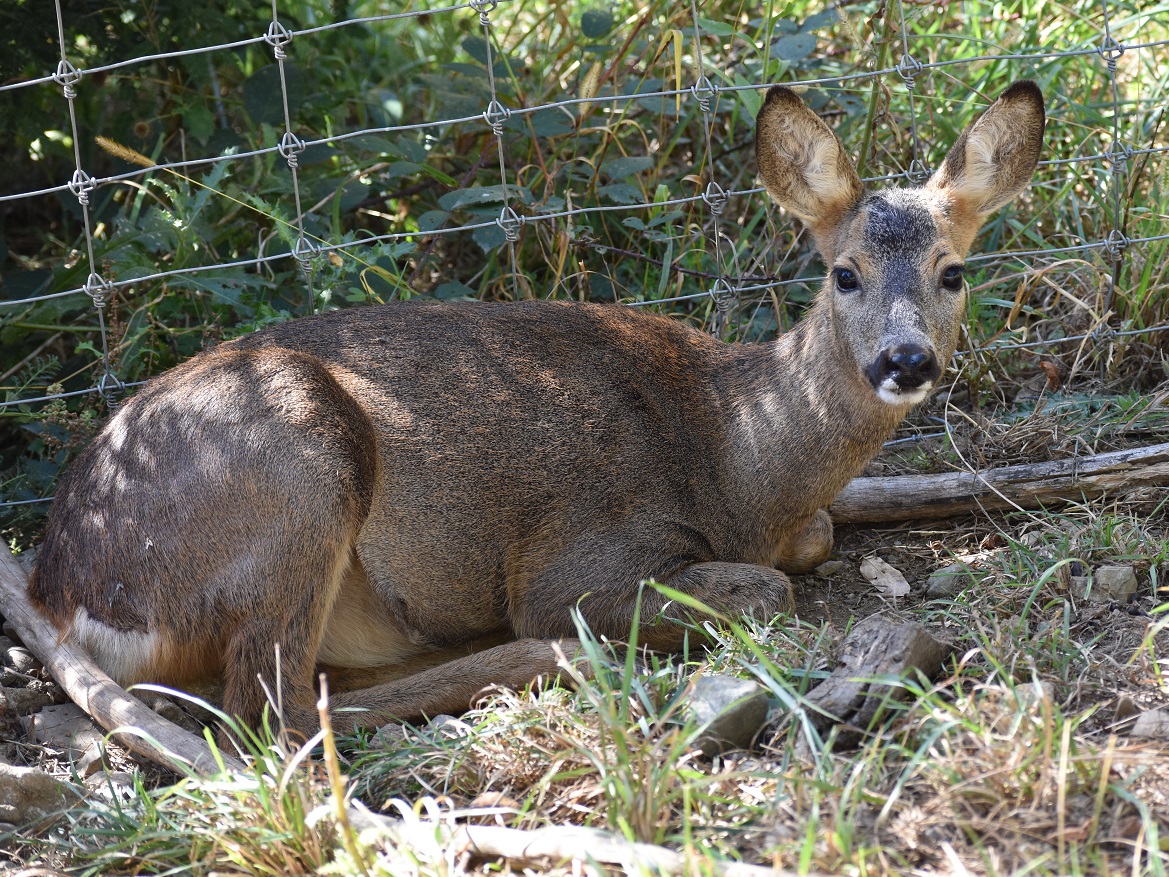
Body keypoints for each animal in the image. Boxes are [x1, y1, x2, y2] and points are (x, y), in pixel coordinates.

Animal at [27, 81, 1045, 739]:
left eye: (953, 271)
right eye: (845, 272)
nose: (905, 360)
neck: (733, 456)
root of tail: (58, 585)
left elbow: (816, 538)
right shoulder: (578, 554)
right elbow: (763, 586)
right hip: (298, 453)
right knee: (268, 714)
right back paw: (553, 659)